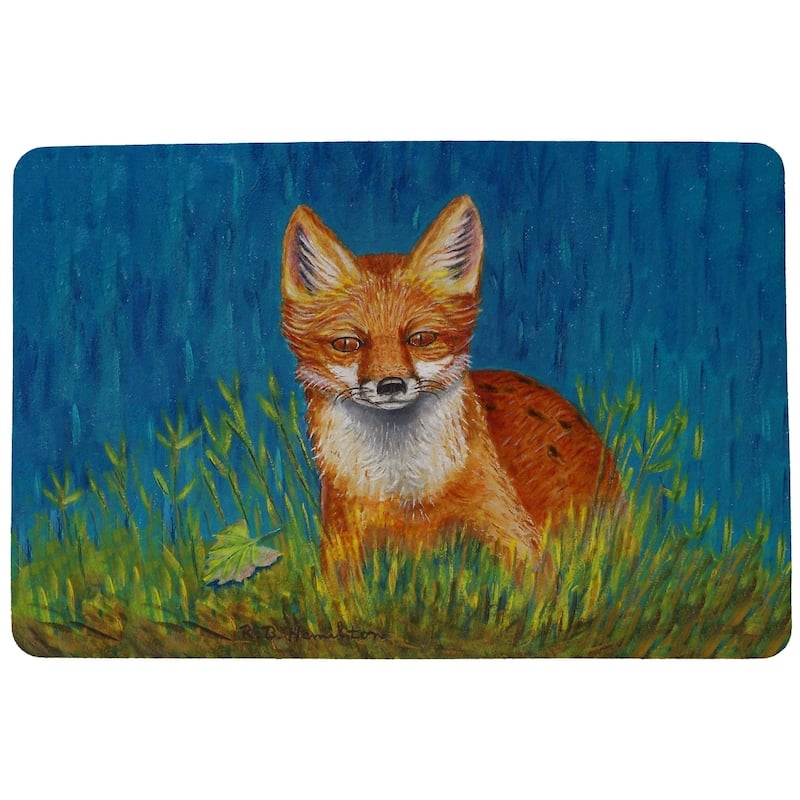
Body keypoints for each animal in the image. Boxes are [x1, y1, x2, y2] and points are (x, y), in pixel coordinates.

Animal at [280, 195, 621, 568]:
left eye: (421, 338)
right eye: (346, 343)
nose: (390, 385)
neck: (405, 492)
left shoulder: (517, 537)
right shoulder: (342, 543)